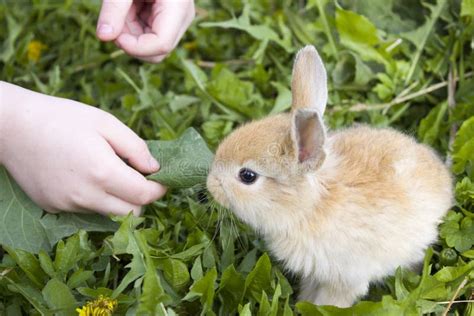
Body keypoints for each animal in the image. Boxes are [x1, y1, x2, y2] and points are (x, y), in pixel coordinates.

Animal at [206, 45, 454, 308]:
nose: (210, 184)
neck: (310, 206)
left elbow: (331, 301)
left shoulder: (345, 278)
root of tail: (444, 181)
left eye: (247, 176)